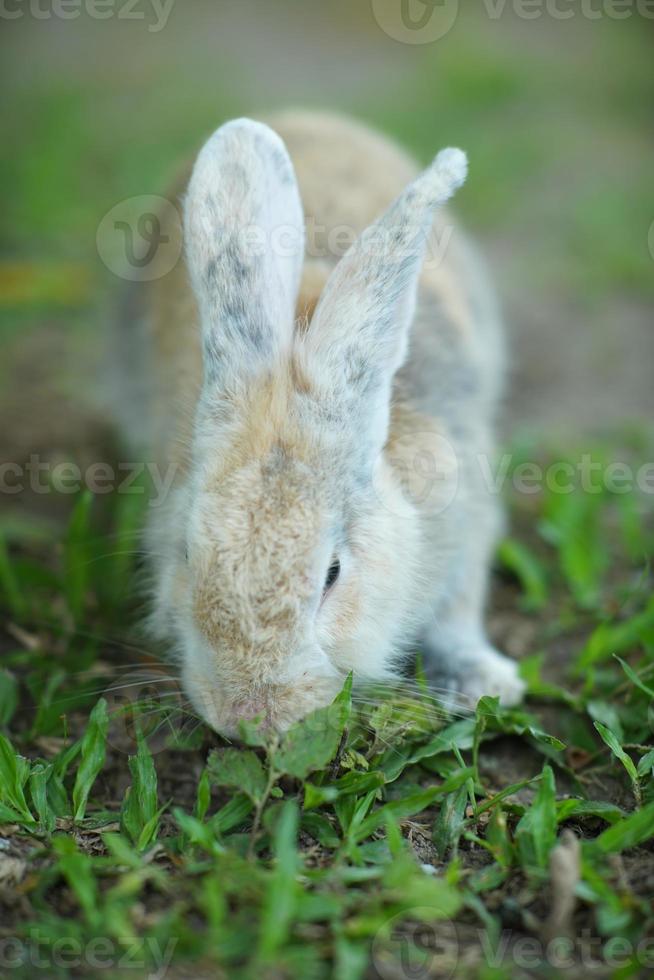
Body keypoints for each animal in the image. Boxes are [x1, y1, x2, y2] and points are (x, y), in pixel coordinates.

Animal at [116, 109, 528, 736]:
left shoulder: (468, 519)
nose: (250, 716)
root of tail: (308, 117)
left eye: (333, 572)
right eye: (186, 554)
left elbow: (458, 610)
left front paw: (482, 682)